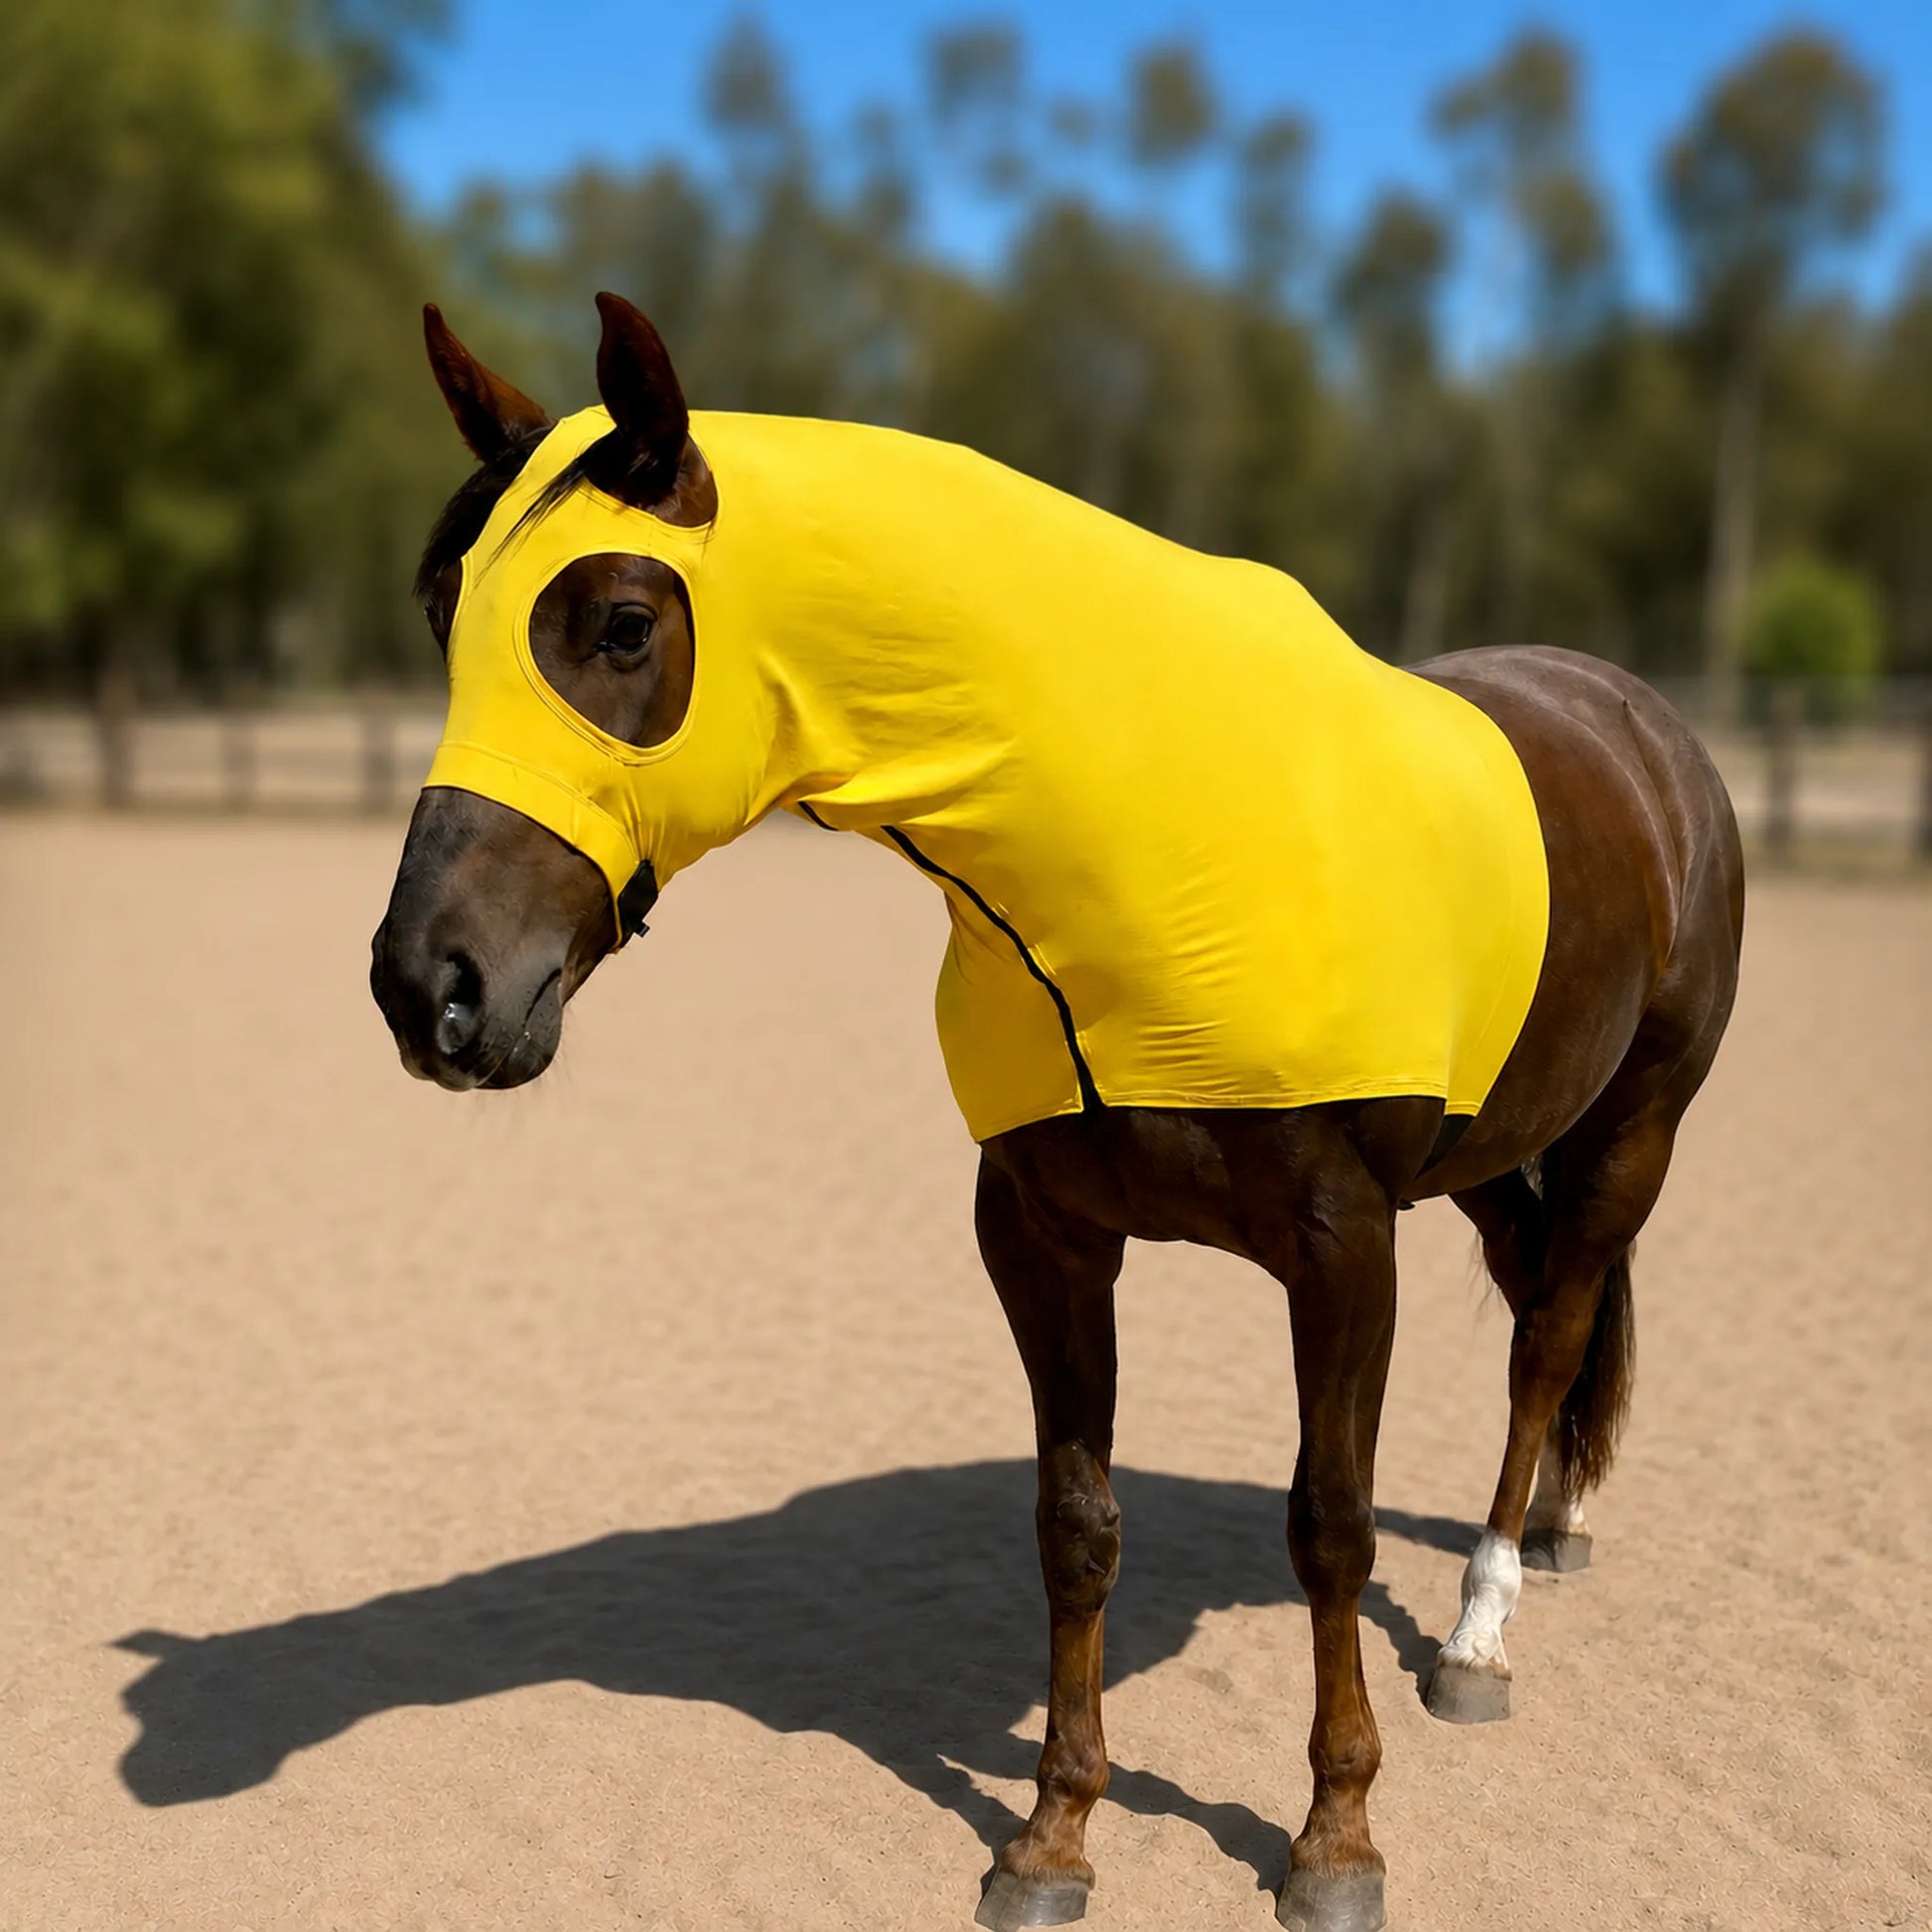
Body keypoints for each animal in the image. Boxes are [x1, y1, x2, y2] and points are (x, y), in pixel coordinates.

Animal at [370, 293, 1744, 1932]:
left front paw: (1333, 1839)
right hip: (1491, 1147)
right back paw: (1549, 1533)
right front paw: (1052, 1837)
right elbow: (1075, 1527)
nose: (429, 988)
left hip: (1632, 1131)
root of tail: (1647, 732)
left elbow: (1329, 1525)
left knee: (1547, 1340)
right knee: (1544, 1303)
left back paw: (1480, 1632)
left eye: (621, 623)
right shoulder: (1045, 1237)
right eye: (441, 617)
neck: (1137, 836)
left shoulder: (1344, 1245)